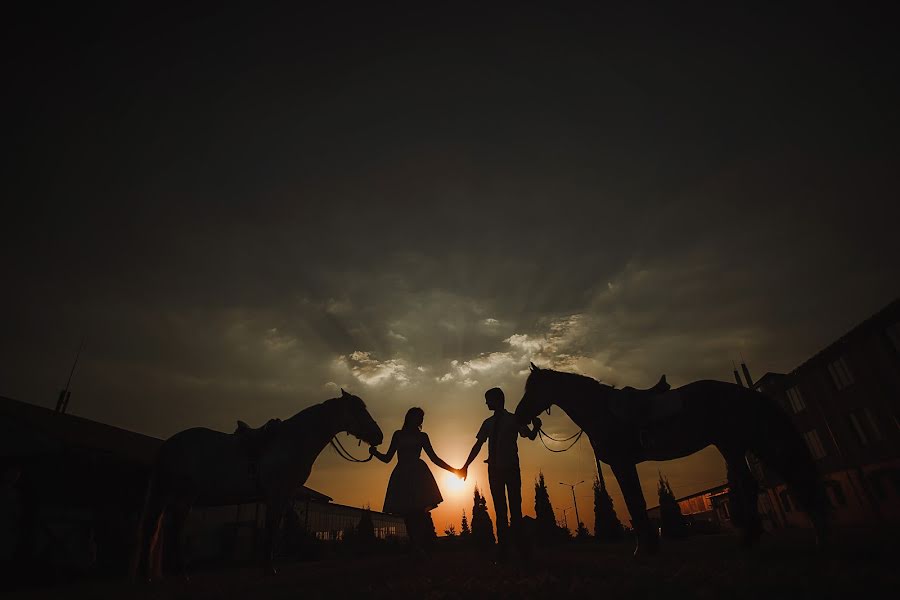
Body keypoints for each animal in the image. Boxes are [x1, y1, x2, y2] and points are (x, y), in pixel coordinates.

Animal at [128, 390, 382, 580]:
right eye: (359, 410)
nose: (379, 436)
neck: (291, 440)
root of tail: (170, 443)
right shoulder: (276, 495)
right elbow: (271, 528)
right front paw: (269, 568)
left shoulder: (284, 496)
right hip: (168, 492)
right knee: (153, 526)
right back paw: (147, 575)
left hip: (185, 496)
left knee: (173, 527)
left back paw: (178, 572)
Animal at [516, 364, 828, 556]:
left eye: (534, 389)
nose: (520, 416)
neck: (600, 410)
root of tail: (745, 393)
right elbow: (635, 501)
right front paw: (648, 546)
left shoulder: (622, 462)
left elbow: (634, 501)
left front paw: (645, 548)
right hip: (733, 444)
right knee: (753, 483)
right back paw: (752, 540)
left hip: (741, 442)